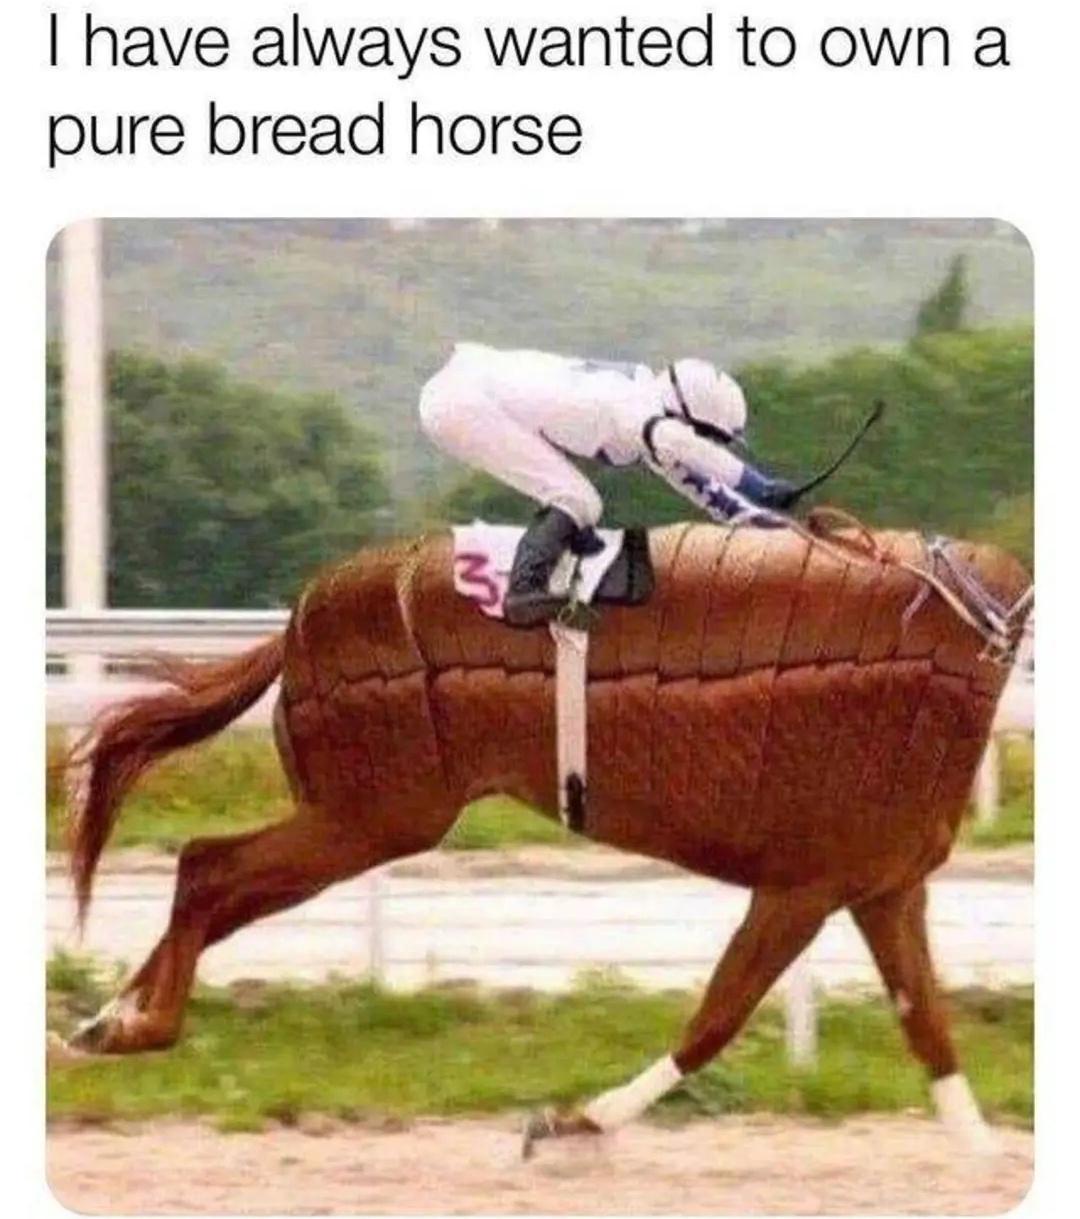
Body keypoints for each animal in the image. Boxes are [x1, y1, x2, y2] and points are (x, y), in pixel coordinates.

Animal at [59, 517, 1031, 1156]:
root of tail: (297, 625)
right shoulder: (807, 881)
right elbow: (719, 1014)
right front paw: (571, 1122)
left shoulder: (880, 885)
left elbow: (927, 1026)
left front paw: (988, 1153)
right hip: (368, 815)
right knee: (207, 869)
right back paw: (130, 1023)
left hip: (360, 817)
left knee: (209, 876)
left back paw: (112, 1014)